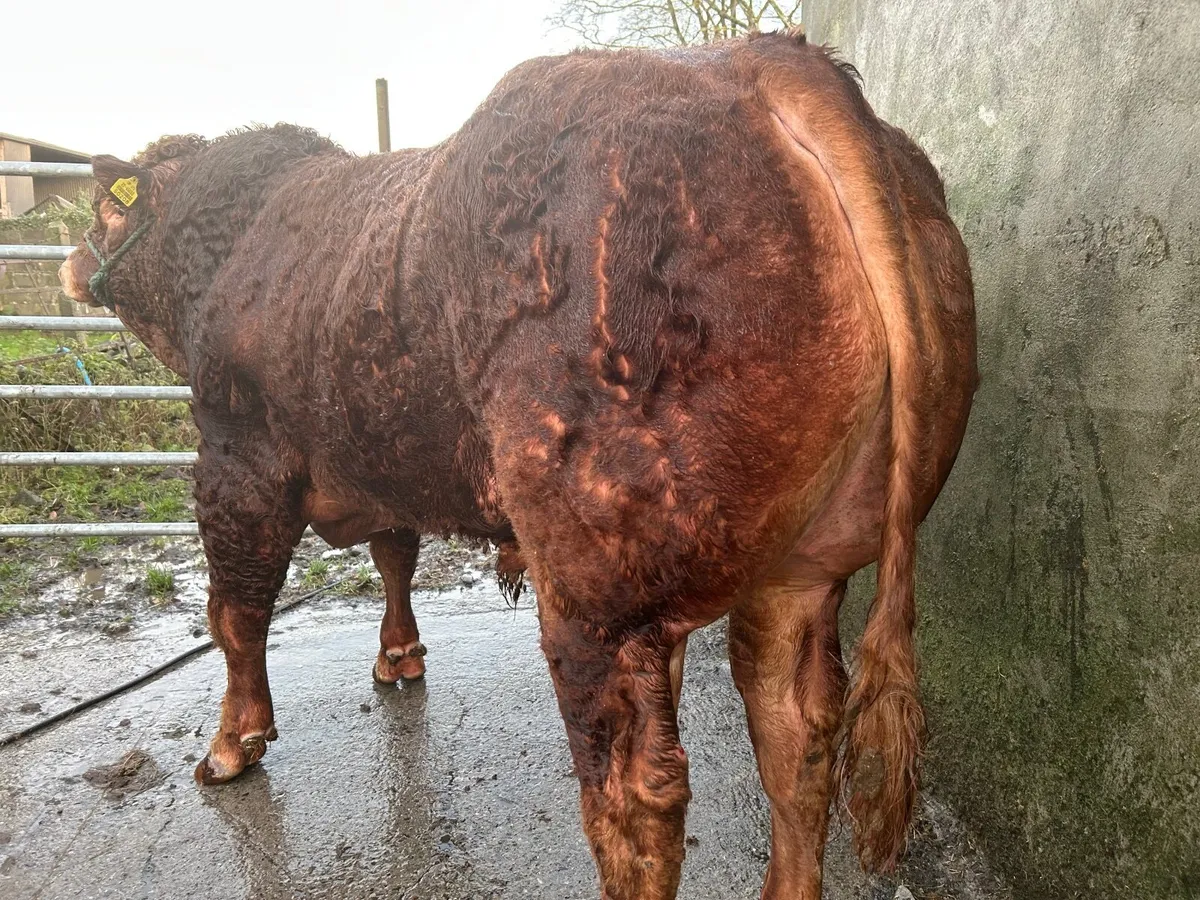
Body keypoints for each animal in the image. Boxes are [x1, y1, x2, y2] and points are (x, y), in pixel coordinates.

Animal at [60, 29, 976, 900]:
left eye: (104, 211)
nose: (67, 261)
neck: (228, 250)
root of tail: (765, 63)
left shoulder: (235, 455)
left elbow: (235, 612)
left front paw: (231, 742)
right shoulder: (387, 454)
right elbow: (395, 555)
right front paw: (398, 656)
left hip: (590, 593)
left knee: (634, 798)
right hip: (801, 568)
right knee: (795, 735)